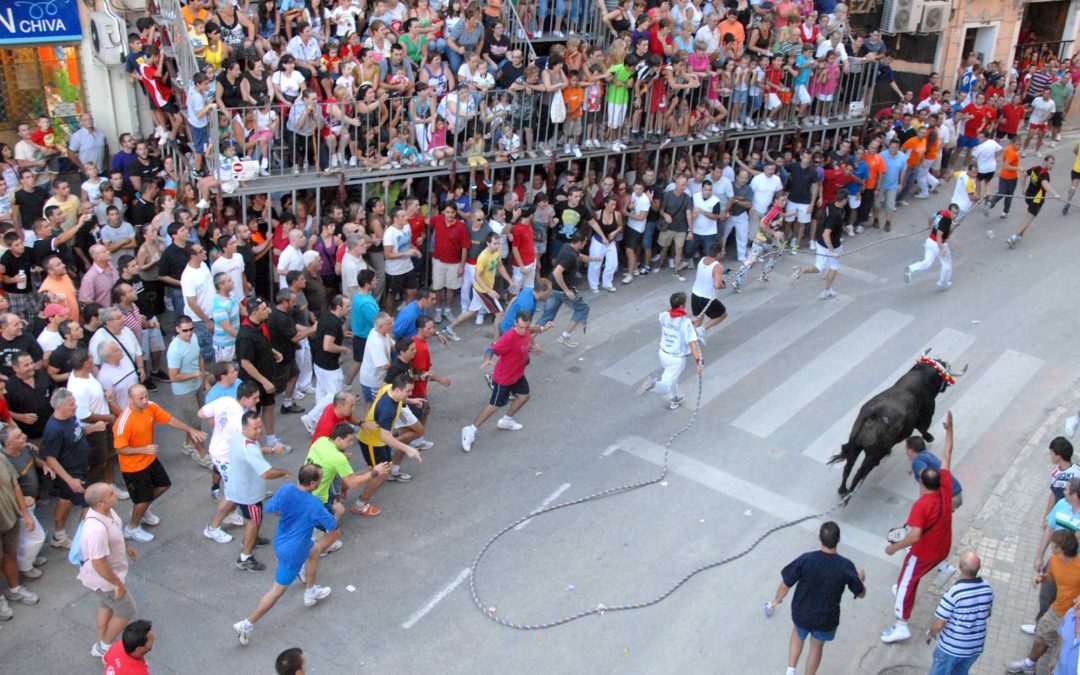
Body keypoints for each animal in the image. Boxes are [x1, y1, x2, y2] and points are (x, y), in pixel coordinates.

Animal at [825, 358, 963, 494]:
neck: (920, 377)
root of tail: (871, 417)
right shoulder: (926, 414)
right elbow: (924, 429)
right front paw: (929, 438)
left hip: (855, 445)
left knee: (848, 466)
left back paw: (842, 490)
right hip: (872, 455)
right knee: (860, 472)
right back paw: (849, 493)